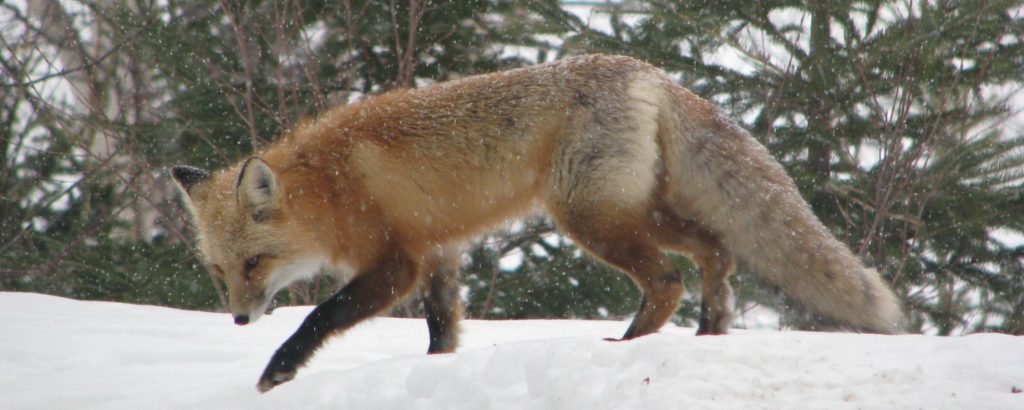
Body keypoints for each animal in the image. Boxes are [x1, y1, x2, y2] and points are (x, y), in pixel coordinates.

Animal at [171, 54, 903, 393]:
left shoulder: (395, 264)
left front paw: (275, 373)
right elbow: (443, 328)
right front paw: (437, 377)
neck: (330, 184)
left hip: (589, 217)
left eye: (255, 263)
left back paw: (629, 346)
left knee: (667, 279)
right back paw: (711, 327)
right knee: (716, 248)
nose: (239, 318)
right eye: (218, 271)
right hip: (640, 209)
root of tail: (646, 71)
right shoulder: (439, 251)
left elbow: (320, 317)